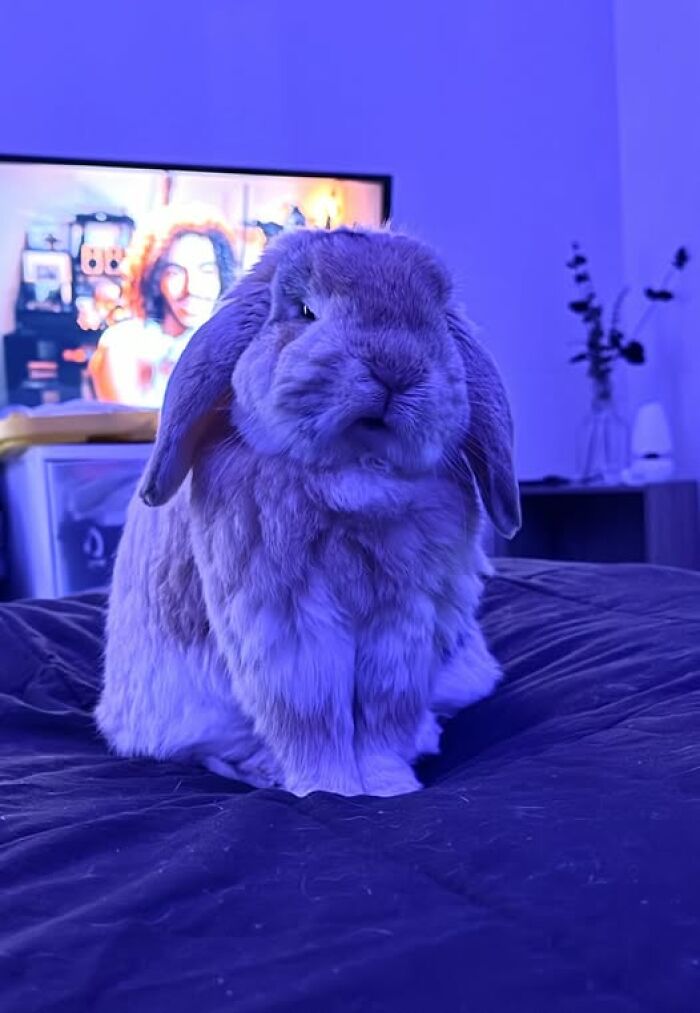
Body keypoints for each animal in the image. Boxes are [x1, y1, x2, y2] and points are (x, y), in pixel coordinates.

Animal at [95, 226, 520, 797]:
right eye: (304, 310)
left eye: (435, 320)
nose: (395, 368)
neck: (357, 475)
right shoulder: (289, 629)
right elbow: (311, 721)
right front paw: (331, 791)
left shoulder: (406, 627)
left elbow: (384, 723)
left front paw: (390, 788)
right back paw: (267, 772)